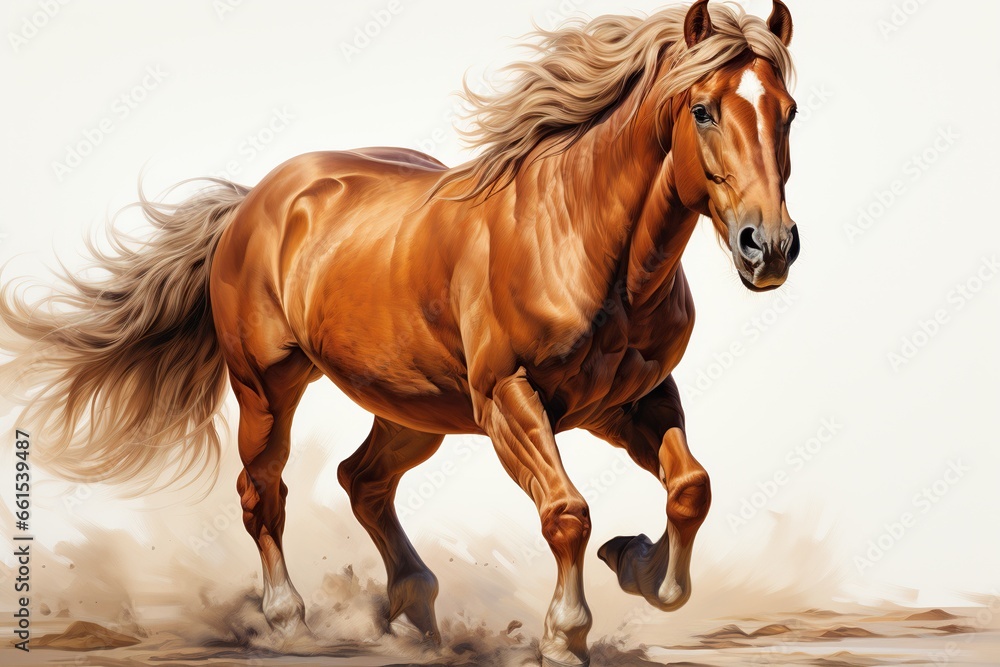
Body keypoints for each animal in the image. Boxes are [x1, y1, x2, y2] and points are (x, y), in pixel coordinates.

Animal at [0, 2, 799, 664]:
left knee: (363, 480)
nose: (769, 247)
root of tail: (255, 201)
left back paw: (415, 610)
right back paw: (289, 623)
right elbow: (567, 512)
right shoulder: (510, 399)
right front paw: (565, 636)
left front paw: (636, 561)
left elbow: (690, 487)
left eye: (788, 111)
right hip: (267, 389)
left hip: (415, 410)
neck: (581, 240)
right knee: (264, 492)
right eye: (704, 110)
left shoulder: (631, 399)